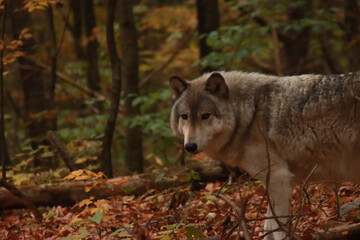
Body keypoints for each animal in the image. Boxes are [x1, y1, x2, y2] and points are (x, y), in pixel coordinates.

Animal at [169, 71, 360, 240]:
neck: (248, 116)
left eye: (205, 116)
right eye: (184, 116)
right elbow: (268, 227)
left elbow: (277, 229)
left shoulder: (278, 178)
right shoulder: (278, 183)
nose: (190, 146)